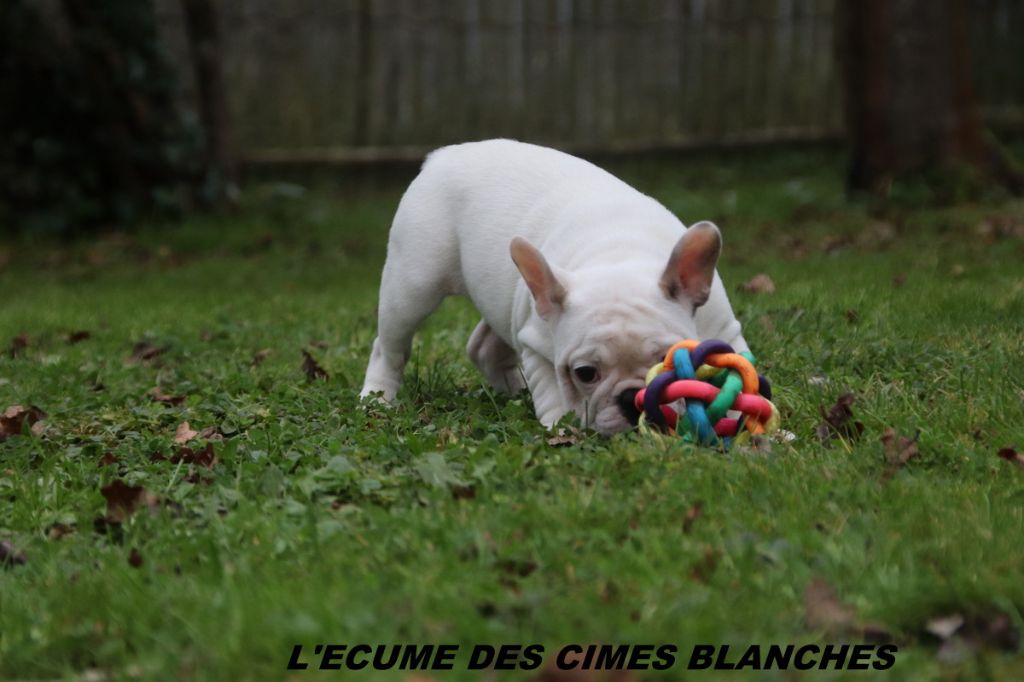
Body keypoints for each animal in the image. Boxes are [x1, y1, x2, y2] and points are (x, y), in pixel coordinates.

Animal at [360, 139, 748, 434]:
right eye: (585, 373)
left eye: (667, 360)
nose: (631, 398)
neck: (617, 254)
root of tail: (443, 155)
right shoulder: (536, 344)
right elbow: (553, 393)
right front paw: (561, 428)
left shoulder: (723, 329)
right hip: (413, 286)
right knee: (390, 346)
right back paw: (377, 398)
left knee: (484, 346)